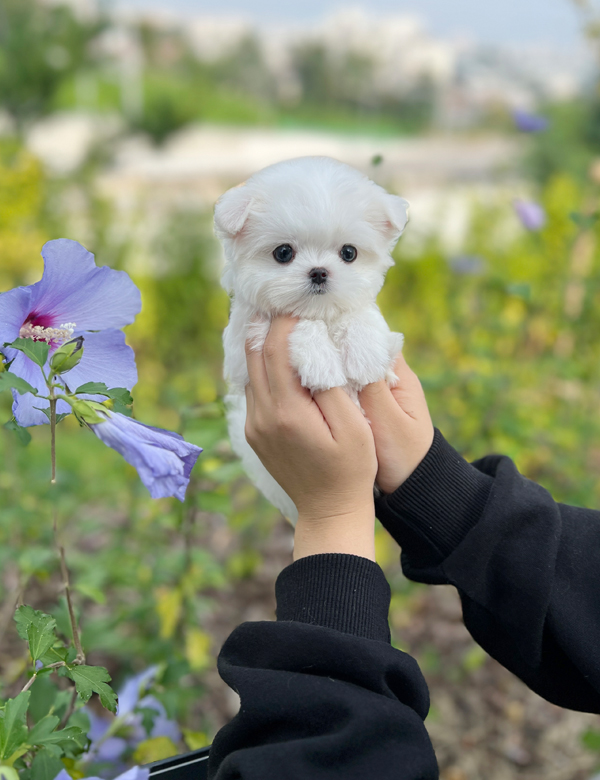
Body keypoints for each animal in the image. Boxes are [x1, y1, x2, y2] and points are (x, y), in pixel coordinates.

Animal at [214, 156, 408, 524]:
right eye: (283, 253)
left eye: (349, 253)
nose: (319, 272)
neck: (319, 312)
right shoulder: (246, 340)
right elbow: (301, 325)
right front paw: (321, 363)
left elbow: (357, 315)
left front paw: (364, 354)